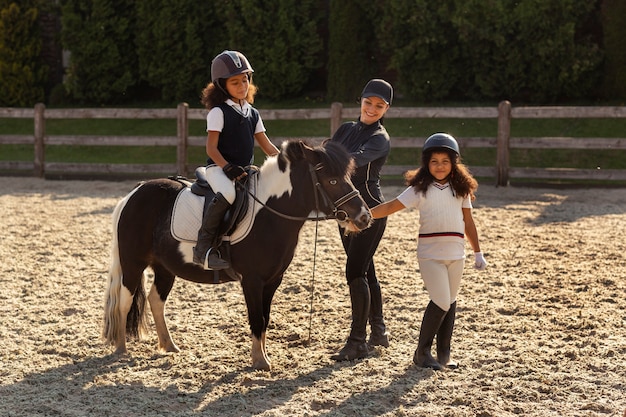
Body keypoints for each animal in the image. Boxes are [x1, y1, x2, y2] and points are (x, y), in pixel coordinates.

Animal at [102, 141, 370, 370]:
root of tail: (134, 193)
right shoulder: (251, 280)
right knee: (124, 301)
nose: (364, 217)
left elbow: (265, 318)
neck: (270, 214)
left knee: (156, 300)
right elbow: (257, 318)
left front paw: (263, 356)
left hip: (165, 268)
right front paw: (260, 361)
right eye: (332, 180)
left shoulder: (272, 281)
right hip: (133, 263)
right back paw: (121, 349)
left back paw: (169, 346)